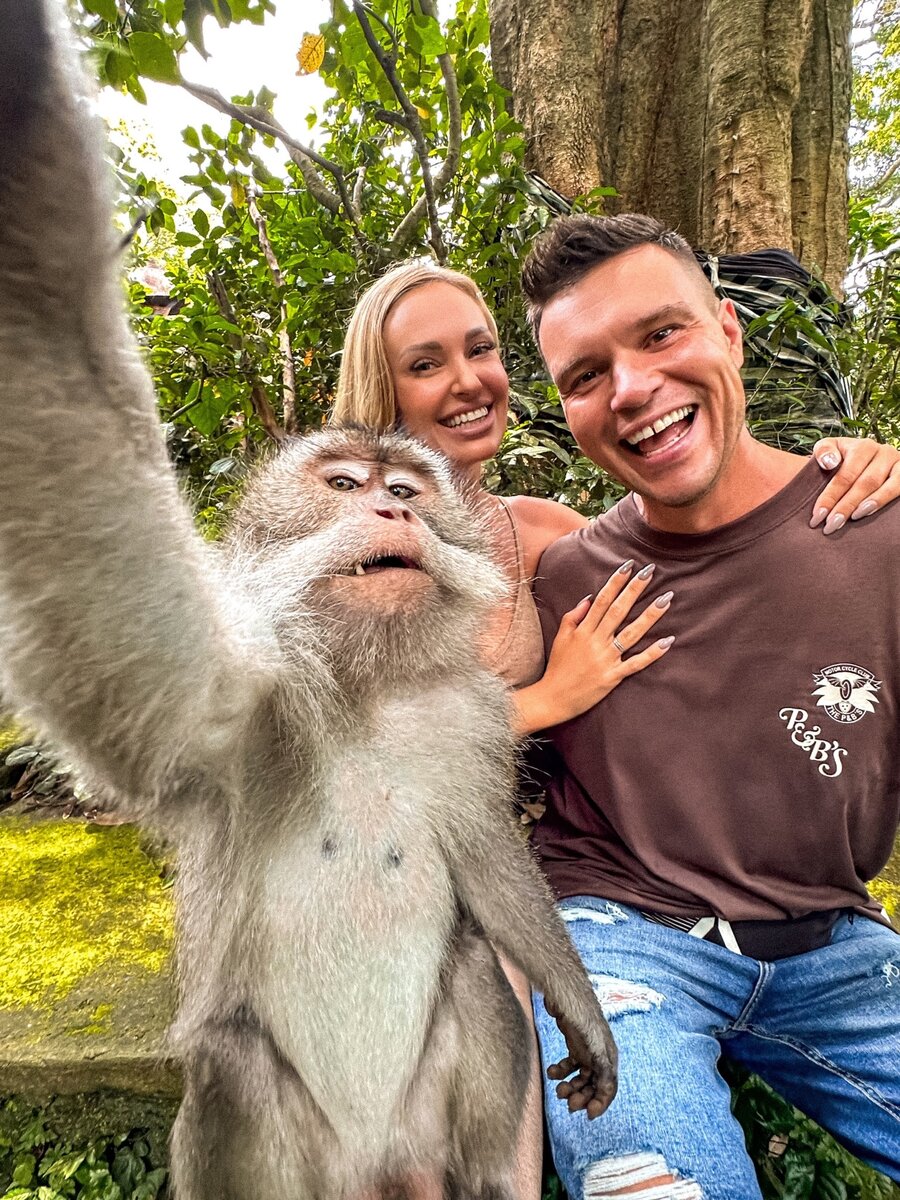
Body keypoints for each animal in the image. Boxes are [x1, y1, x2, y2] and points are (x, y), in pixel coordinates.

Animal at [0, 2, 619, 1200]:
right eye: (342, 486)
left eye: (406, 490)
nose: (387, 508)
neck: (368, 695)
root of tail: (378, 1166)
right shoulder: (248, 713)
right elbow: (141, 656)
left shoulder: (461, 720)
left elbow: (484, 853)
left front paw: (584, 1012)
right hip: (289, 1144)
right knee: (232, 1061)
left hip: (428, 1123)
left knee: (473, 969)